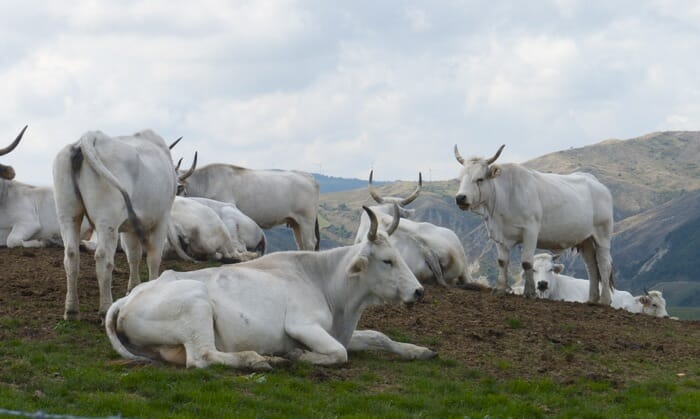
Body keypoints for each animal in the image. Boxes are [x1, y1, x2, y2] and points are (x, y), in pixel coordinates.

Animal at [53, 129, 177, 320]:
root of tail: (89, 137)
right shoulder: (162, 218)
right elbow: (154, 257)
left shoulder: (129, 227)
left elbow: (133, 256)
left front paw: (133, 289)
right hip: (107, 219)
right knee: (103, 258)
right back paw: (105, 309)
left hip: (67, 214)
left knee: (71, 255)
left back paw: (71, 310)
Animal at [104, 205, 436, 369]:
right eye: (387, 260)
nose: (419, 291)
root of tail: (127, 298)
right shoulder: (303, 326)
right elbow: (340, 353)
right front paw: (300, 356)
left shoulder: (338, 331)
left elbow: (380, 337)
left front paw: (418, 350)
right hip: (196, 305)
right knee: (202, 357)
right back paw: (258, 360)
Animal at [177, 163, 320, 251]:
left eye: (178, 188)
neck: (207, 182)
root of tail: (306, 176)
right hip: (296, 222)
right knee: (301, 244)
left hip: (307, 219)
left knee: (310, 243)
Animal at [454, 144, 614, 305]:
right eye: (460, 179)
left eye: (479, 179)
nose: (460, 198)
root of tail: (595, 183)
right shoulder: (499, 235)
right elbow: (502, 261)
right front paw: (500, 289)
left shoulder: (530, 231)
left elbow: (526, 262)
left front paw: (530, 292)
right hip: (586, 239)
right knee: (592, 267)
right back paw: (592, 299)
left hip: (602, 234)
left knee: (604, 265)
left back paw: (605, 300)